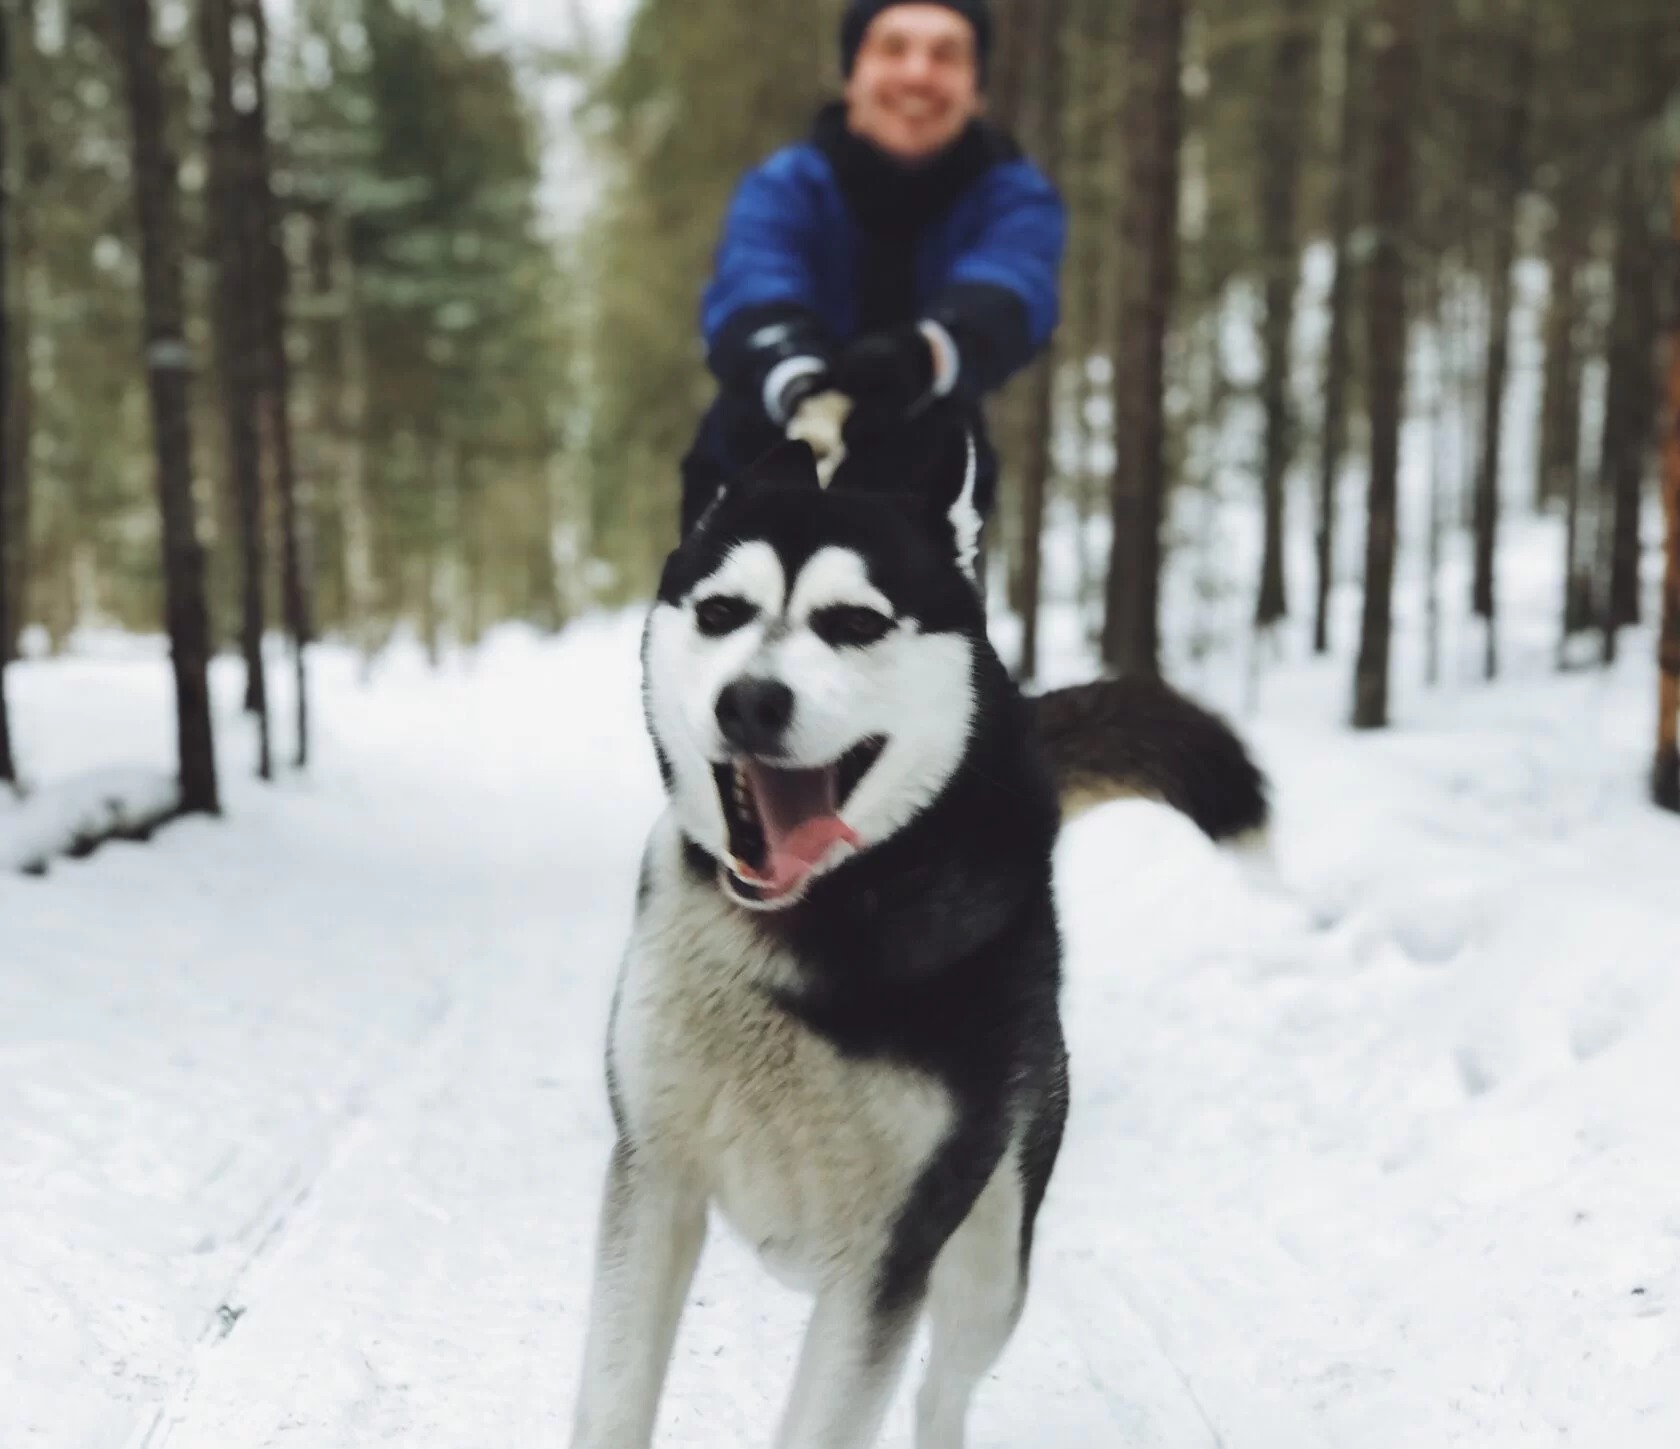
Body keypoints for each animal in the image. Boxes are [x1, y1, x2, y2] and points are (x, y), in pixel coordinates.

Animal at [570, 420, 1269, 1449]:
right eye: (722, 610)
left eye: (854, 623)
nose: (750, 700)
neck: (817, 920)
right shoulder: (655, 1176)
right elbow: (613, 1400)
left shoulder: (888, 1253)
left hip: (988, 1263)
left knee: (944, 1391)